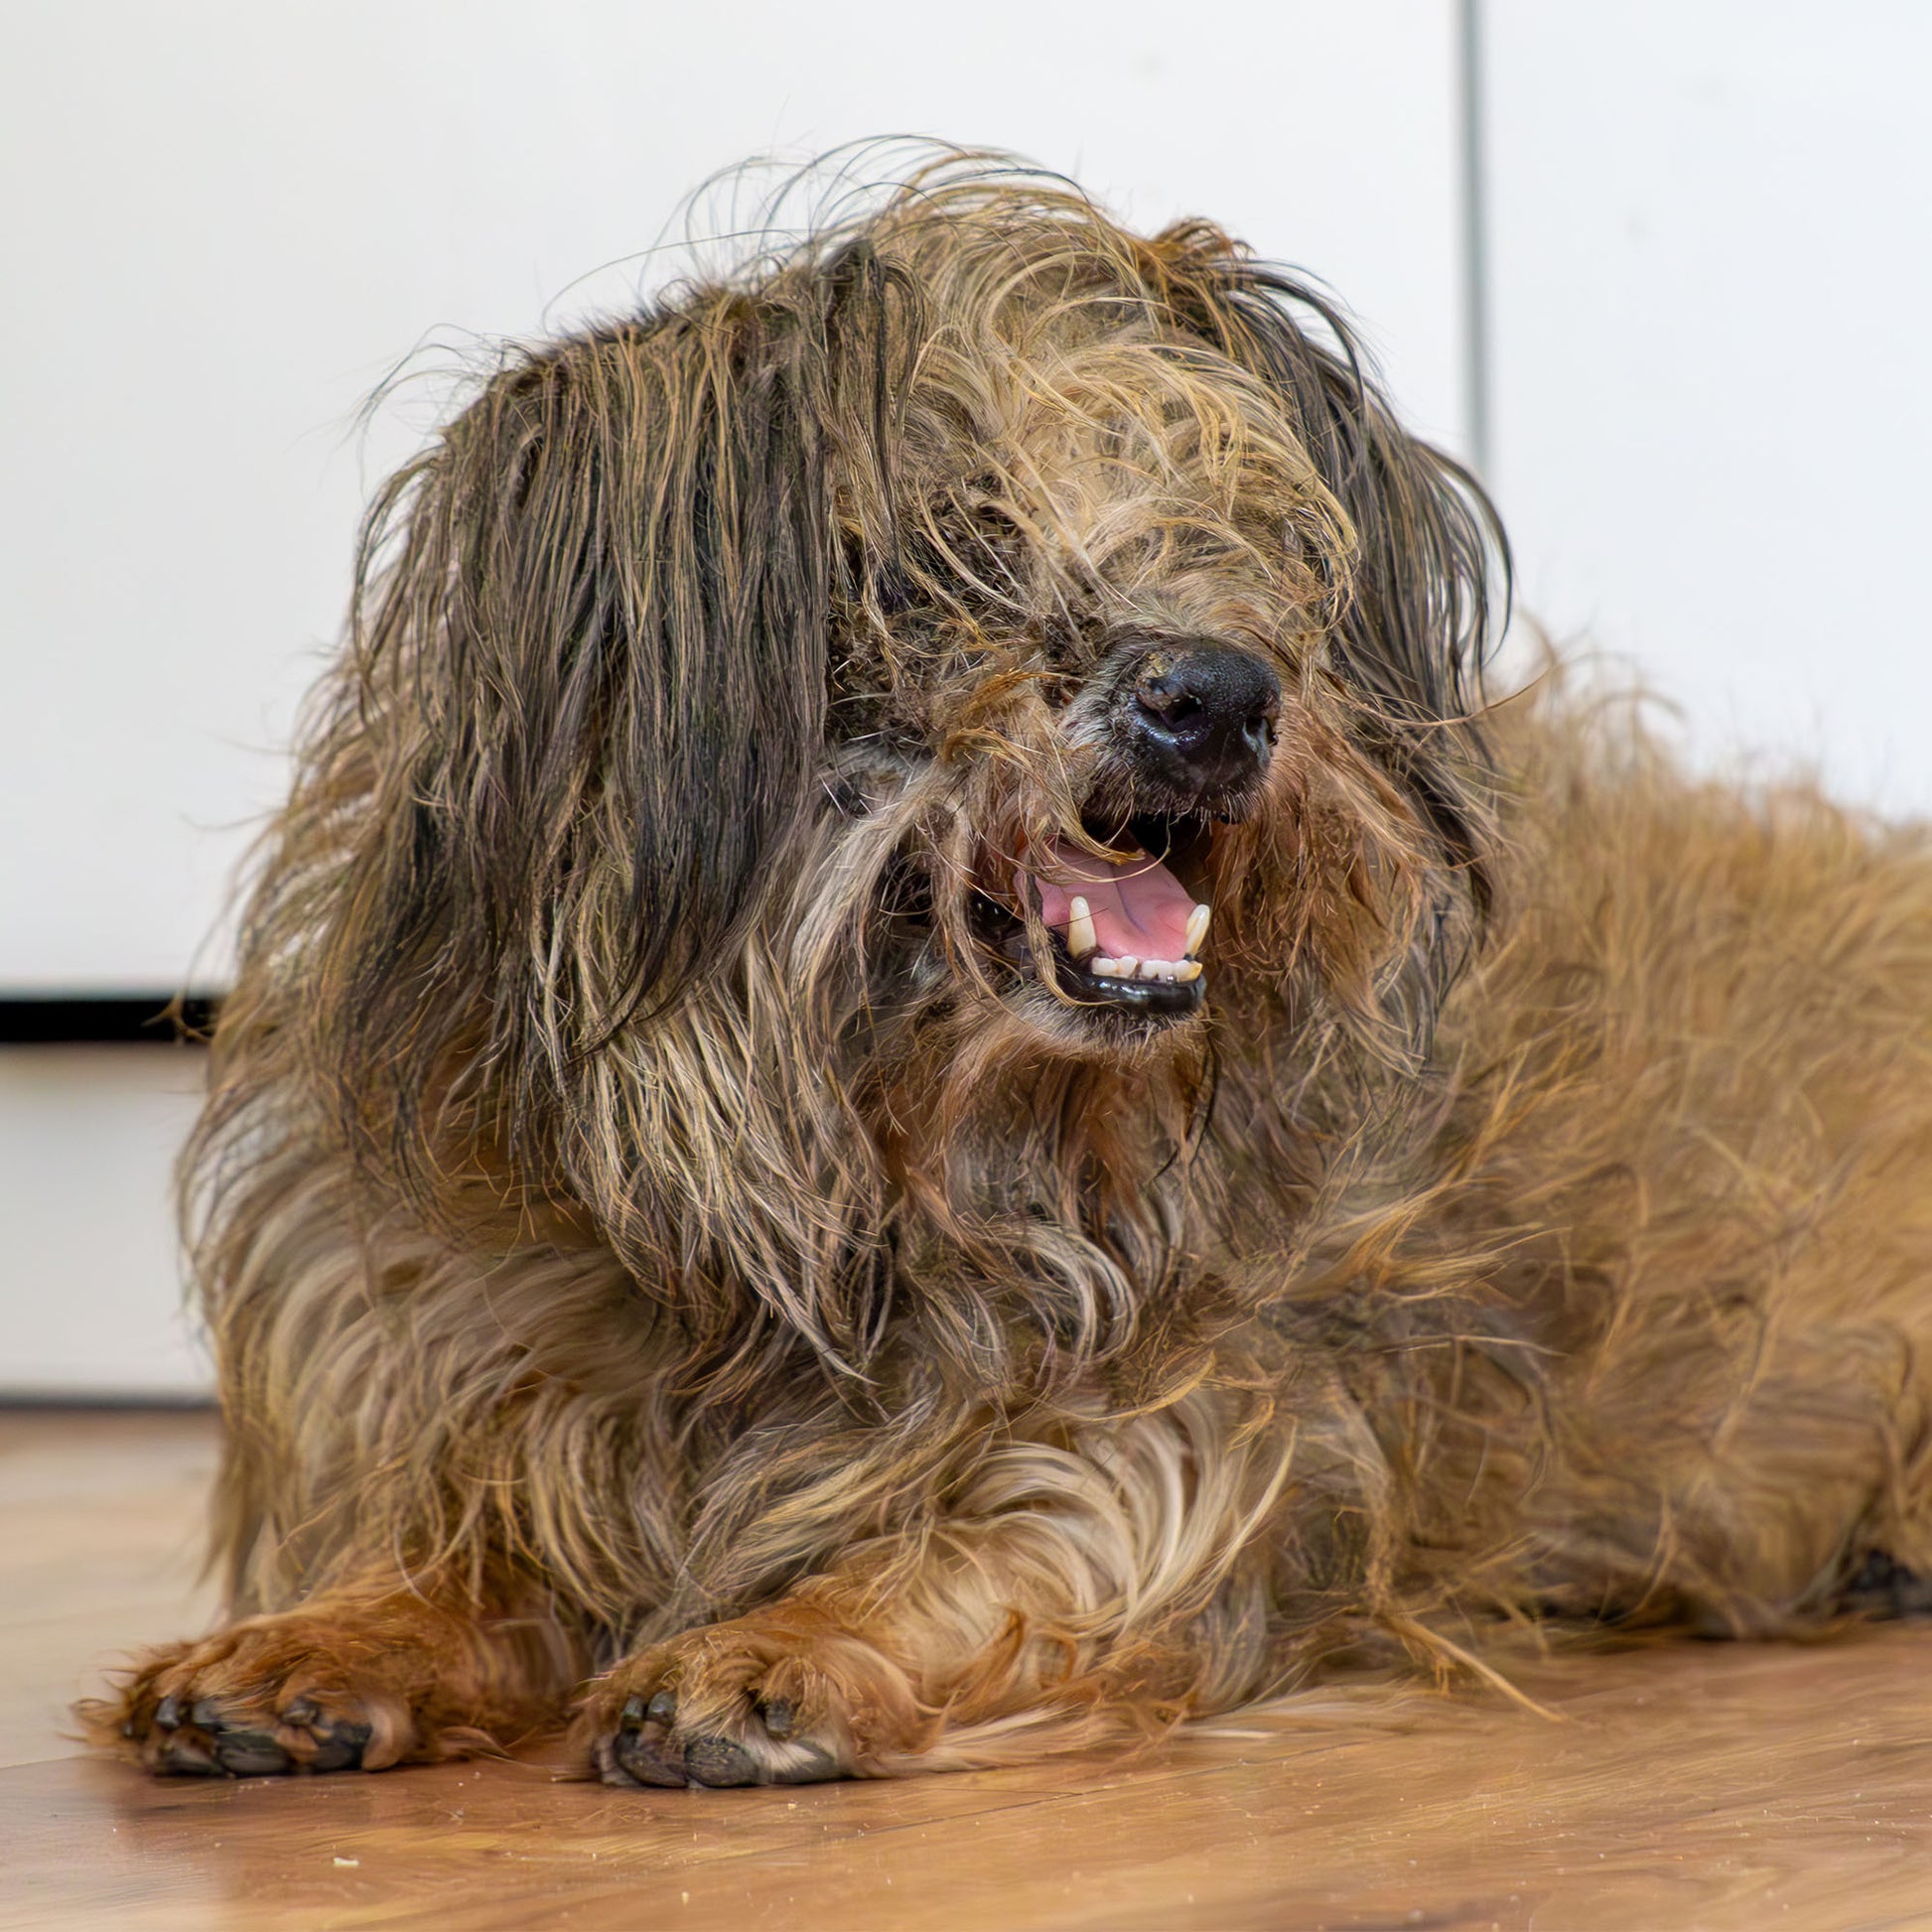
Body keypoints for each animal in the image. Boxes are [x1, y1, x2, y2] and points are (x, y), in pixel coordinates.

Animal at [91, 152, 1932, 1788]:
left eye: (1230, 530)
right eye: (938, 552)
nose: (1219, 696)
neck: (839, 1201)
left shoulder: (1208, 1409)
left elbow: (1028, 1538)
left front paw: (787, 1646)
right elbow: (469, 1539)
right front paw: (321, 1638)